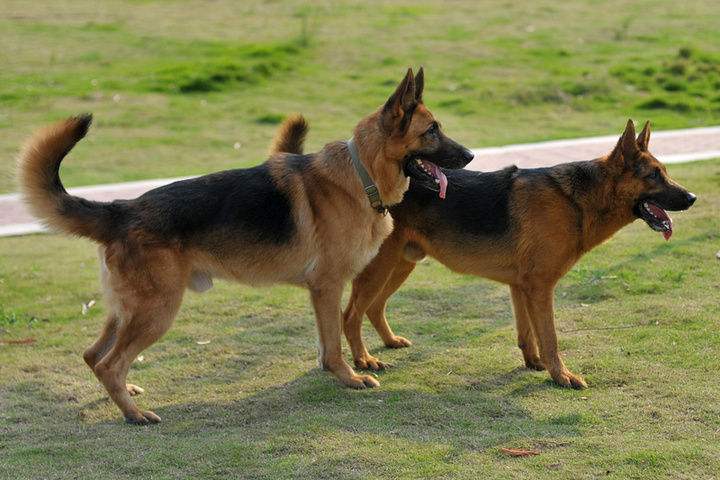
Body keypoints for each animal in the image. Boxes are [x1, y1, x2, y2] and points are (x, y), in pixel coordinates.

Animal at [16, 68, 476, 424]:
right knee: (109, 362)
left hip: (127, 310)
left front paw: (345, 368)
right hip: (156, 311)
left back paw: (127, 392)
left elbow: (331, 337)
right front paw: (349, 377)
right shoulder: (327, 286)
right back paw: (133, 415)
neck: (360, 174)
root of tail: (122, 209)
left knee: (94, 356)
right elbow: (335, 340)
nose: (472, 155)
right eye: (432, 131)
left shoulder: (323, 291)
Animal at [272, 119, 696, 390]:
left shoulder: (522, 288)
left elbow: (528, 335)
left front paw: (534, 365)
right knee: (351, 315)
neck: (578, 199)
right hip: (381, 268)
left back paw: (388, 343)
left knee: (373, 309)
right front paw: (561, 377)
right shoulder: (540, 288)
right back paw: (363, 363)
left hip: (402, 265)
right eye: (654, 175)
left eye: (665, 172)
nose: (693, 197)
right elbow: (551, 337)